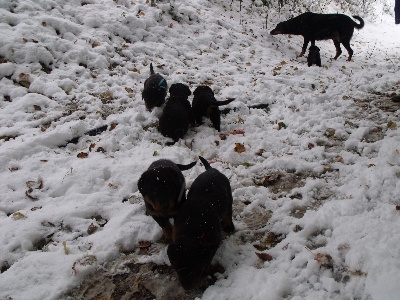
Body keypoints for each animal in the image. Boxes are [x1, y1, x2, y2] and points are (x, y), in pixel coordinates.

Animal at [168, 156, 236, 290]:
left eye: (194, 268)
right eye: (177, 269)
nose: (187, 288)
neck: (190, 230)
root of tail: (211, 169)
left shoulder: (213, 244)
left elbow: (207, 261)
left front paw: (205, 271)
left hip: (228, 197)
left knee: (228, 213)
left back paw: (229, 227)